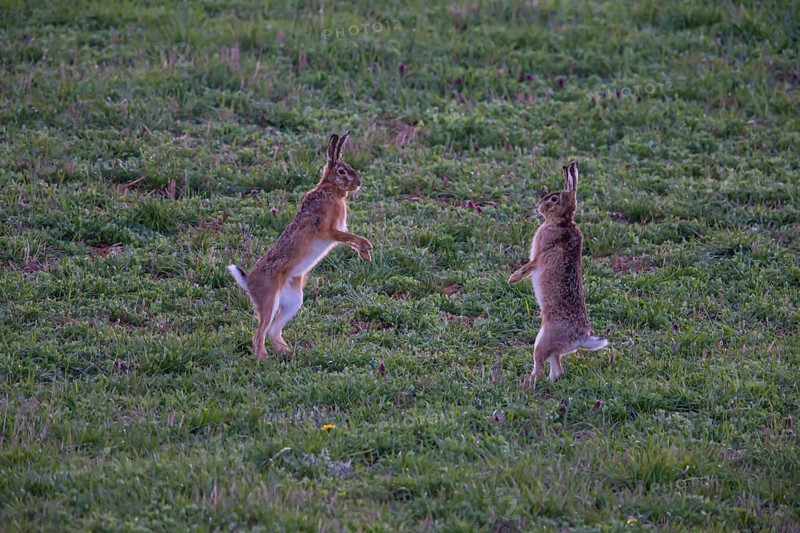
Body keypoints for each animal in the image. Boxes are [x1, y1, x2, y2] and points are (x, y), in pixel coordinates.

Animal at [228, 130, 374, 358]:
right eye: (342, 171)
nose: (358, 182)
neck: (330, 188)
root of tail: (248, 283)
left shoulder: (338, 230)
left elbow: (350, 239)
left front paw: (366, 254)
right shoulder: (328, 230)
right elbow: (349, 237)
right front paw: (367, 247)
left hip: (295, 299)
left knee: (273, 330)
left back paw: (290, 353)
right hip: (269, 300)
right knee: (259, 334)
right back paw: (264, 359)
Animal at [508, 161, 608, 385]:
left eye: (553, 199)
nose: (538, 206)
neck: (563, 221)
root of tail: (582, 337)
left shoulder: (540, 255)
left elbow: (529, 266)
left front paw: (512, 279)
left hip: (542, 341)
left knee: (540, 366)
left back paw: (526, 383)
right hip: (550, 346)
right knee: (557, 370)